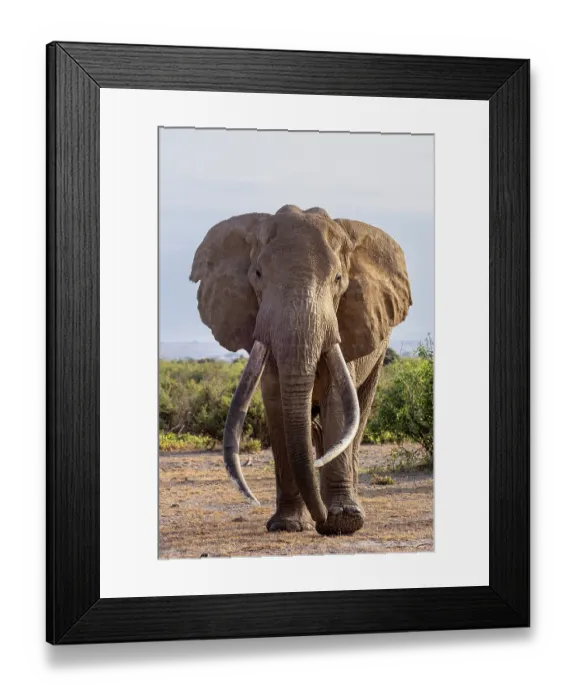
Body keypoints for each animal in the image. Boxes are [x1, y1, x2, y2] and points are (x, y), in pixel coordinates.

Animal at [190, 205, 412, 536]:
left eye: (338, 279)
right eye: (257, 275)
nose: (322, 521)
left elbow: (338, 402)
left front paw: (343, 522)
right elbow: (277, 403)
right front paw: (288, 525)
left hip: (381, 349)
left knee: (358, 415)